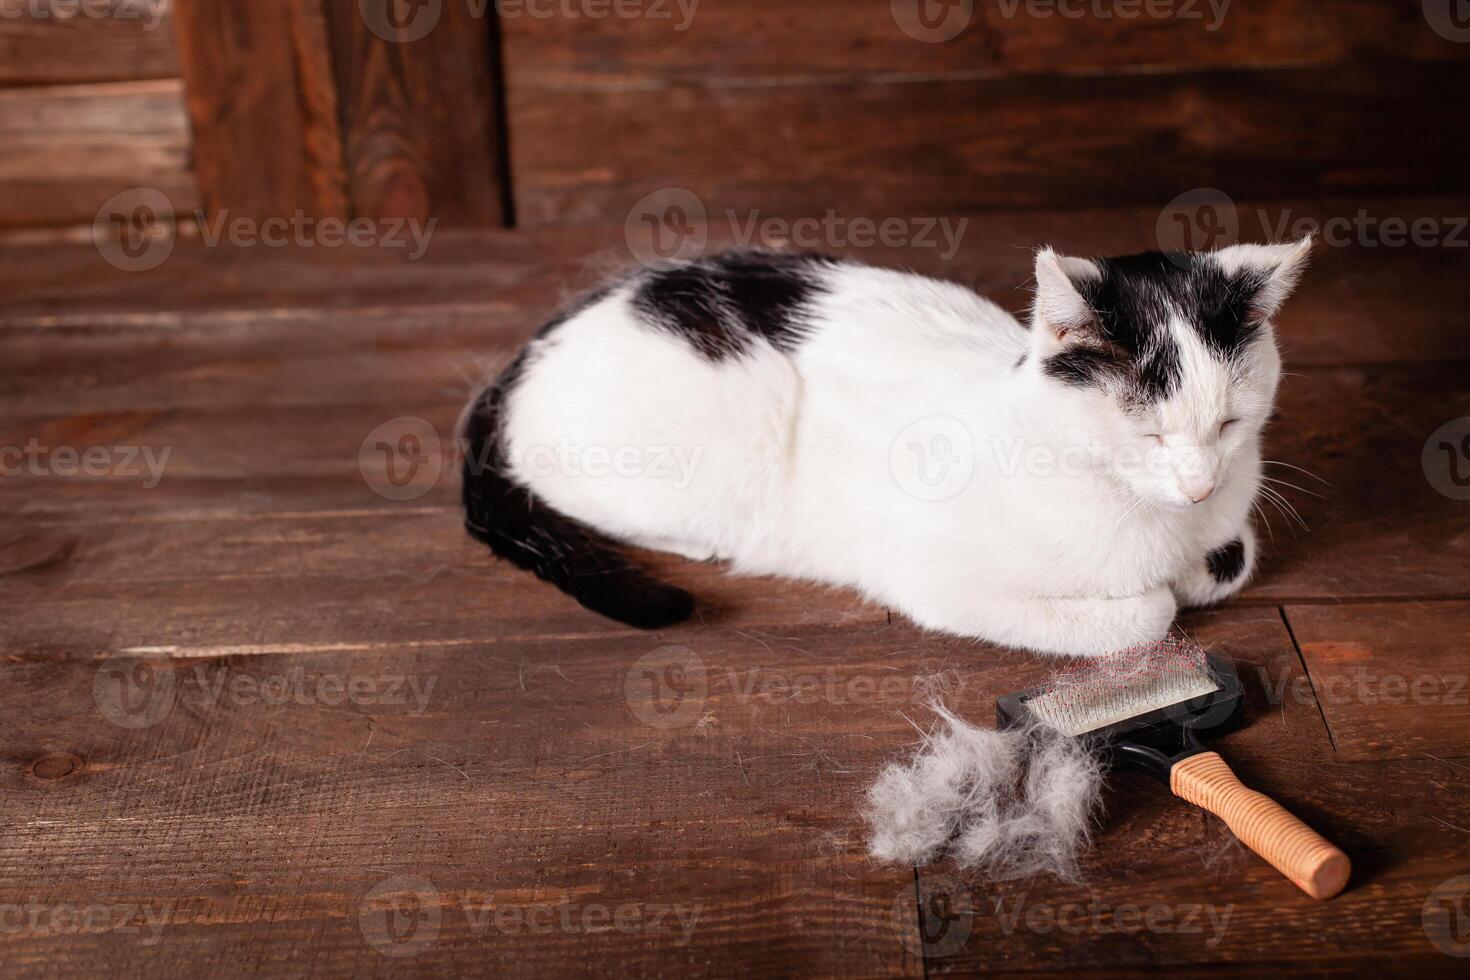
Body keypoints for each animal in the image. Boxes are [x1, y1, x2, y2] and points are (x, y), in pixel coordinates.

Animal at [461, 239, 1311, 658]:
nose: (1200, 487)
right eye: (1149, 433)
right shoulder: (935, 577)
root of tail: (523, 353)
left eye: (1230, 424)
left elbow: (1231, 561)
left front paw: (1202, 566)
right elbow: (1147, 616)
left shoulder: (1229, 525)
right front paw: (1159, 595)